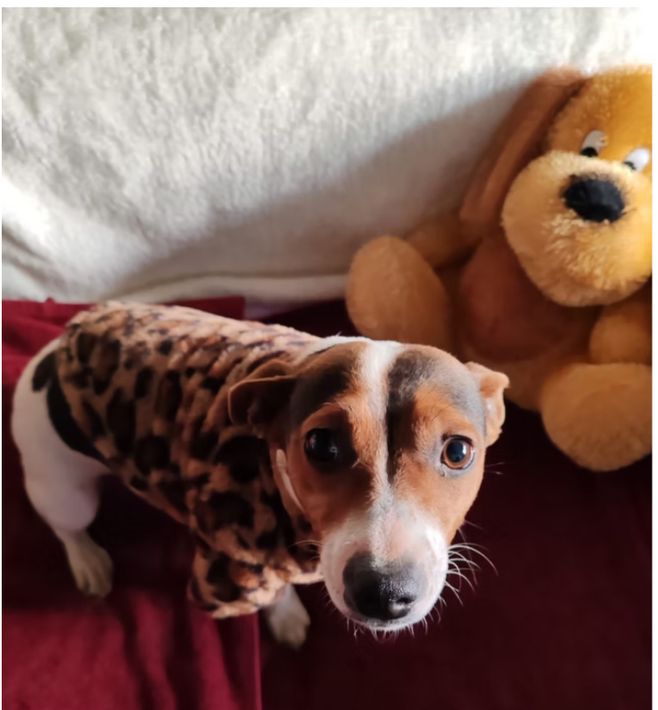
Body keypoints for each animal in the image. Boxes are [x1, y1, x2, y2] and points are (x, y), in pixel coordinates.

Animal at [11, 302, 508, 647]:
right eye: (321, 444)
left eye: (458, 451)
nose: (384, 593)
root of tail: (53, 352)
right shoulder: (236, 562)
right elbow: (271, 592)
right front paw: (285, 616)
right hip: (63, 488)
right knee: (66, 526)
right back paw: (88, 560)